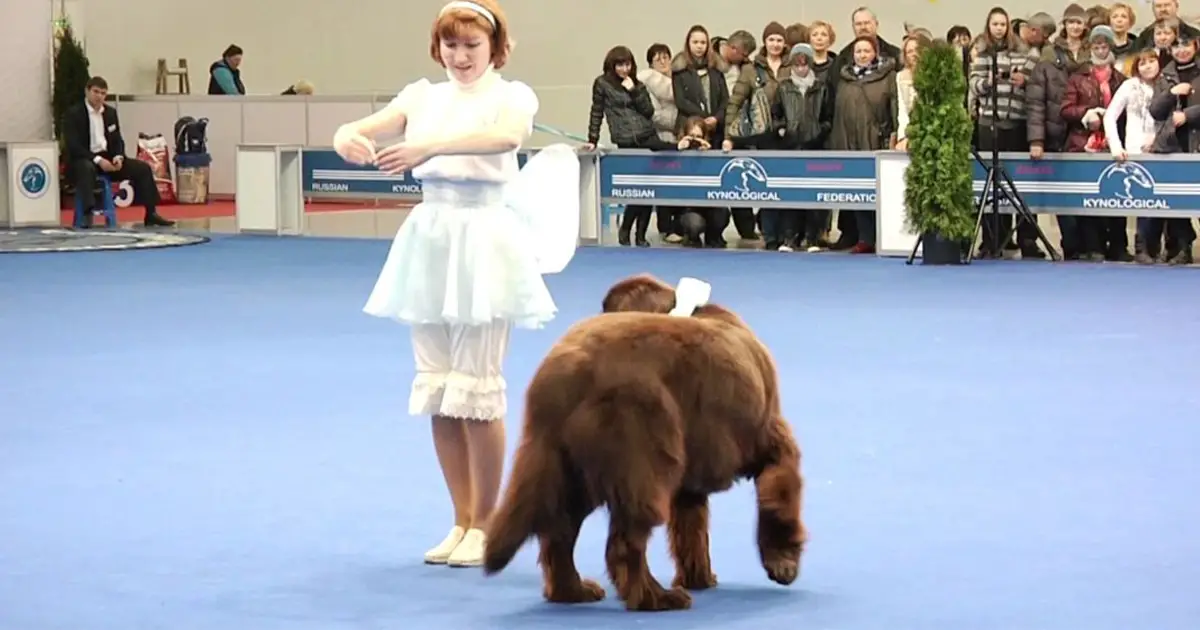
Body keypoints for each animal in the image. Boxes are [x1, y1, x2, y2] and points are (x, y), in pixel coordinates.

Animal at [480, 273, 806, 609]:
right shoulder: (770, 439)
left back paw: (574, 591)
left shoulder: (691, 477)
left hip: (567, 467)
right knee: (624, 542)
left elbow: (691, 527)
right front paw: (783, 563)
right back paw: (657, 598)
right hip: (640, 448)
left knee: (559, 533)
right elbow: (779, 497)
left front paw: (700, 577)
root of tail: (559, 376)